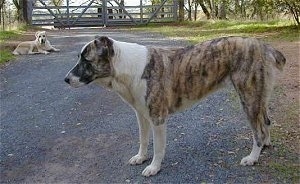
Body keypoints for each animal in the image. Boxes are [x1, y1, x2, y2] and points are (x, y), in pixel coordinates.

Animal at [63, 36, 286, 177]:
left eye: (86, 60)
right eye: (79, 58)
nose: (65, 79)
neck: (127, 66)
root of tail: (260, 44)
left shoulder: (157, 118)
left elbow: (158, 147)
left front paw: (154, 167)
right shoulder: (141, 116)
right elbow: (143, 140)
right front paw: (141, 157)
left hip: (248, 98)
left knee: (258, 130)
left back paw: (253, 157)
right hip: (258, 98)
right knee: (266, 121)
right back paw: (265, 145)